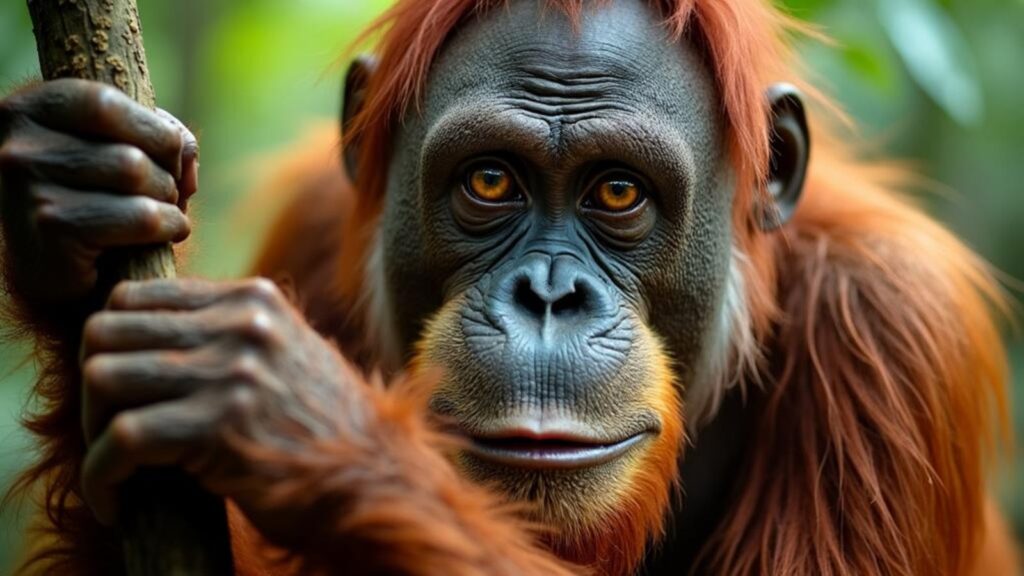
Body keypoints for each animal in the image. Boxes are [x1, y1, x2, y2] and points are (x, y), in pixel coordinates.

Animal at [0, 0, 1016, 574]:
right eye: (491, 182)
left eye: (618, 192)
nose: (548, 295)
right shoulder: (315, 226)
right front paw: (66, 198)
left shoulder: (894, 323)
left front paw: (311, 421)